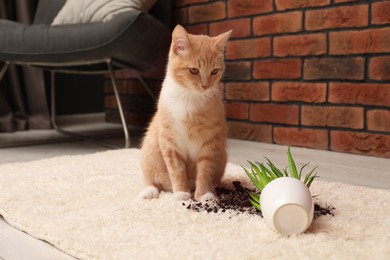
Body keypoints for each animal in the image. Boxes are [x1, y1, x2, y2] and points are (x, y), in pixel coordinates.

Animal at [139, 24, 232, 202]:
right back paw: (149, 191)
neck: (189, 97)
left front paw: (204, 194)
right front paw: (181, 193)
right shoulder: (169, 141)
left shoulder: (210, 142)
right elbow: (176, 169)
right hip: (150, 151)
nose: (205, 86)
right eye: (194, 70)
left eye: (214, 71)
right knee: (152, 180)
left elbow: (205, 170)